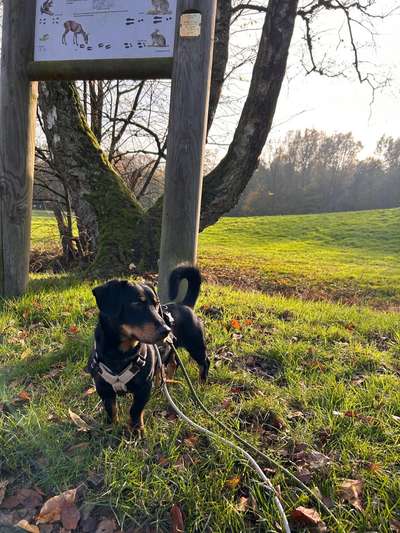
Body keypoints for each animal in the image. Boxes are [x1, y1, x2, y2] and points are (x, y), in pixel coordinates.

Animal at [87, 264, 209, 434]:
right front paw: (110, 427)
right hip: (170, 351)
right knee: (172, 364)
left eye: (156, 304)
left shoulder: (143, 389)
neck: (120, 355)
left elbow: (135, 410)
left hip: (196, 346)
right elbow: (111, 409)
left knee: (204, 362)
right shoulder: (104, 389)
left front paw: (137, 429)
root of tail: (185, 304)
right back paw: (164, 384)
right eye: (136, 304)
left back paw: (201, 383)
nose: (167, 330)